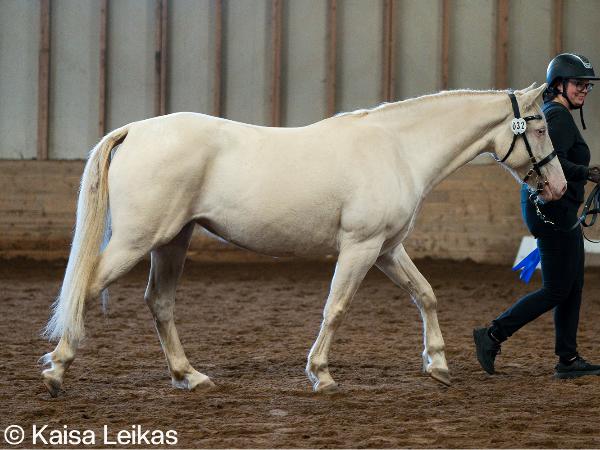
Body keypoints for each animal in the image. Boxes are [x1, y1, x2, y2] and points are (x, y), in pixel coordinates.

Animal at [40, 83, 566, 397]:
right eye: (540, 126)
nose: (559, 188)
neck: (398, 149)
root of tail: (135, 131)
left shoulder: (386, 249)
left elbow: (426, 295)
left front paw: (436, 364)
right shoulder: (360, 247)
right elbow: (336, 307)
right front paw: (322, 373)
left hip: (172, 241)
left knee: (159, 303)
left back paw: (189, 375)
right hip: (138, 240)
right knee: (86, 289)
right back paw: (57, 370)